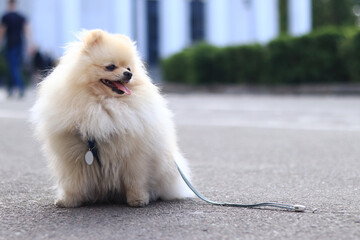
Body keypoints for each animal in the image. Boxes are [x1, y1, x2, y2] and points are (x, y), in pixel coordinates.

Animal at [31, 29, 194, 206]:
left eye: (129, 67)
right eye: (110, 66)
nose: (128, 74)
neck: (103, 104)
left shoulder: (134, 156)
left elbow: (135, 180)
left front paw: (138, 199)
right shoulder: (73, 156)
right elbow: (74, 181)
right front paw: (69, 200)